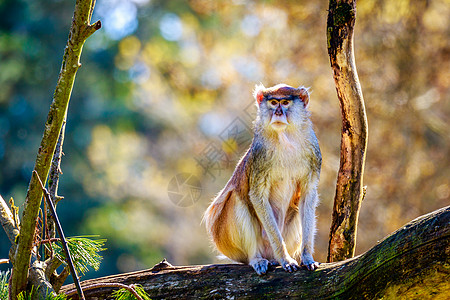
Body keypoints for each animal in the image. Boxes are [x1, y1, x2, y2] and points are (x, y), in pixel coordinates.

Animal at [204, 84, 320, 274]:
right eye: (273, 102)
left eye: (285, 102)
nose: (278, 112)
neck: (285, 138)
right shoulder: (260, 154)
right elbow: (257, 197)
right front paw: (285, 259)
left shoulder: (314, 154)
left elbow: (307, 197)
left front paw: (307, 257)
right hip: (227, 240)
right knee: (235, 199)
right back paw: (257, 258)